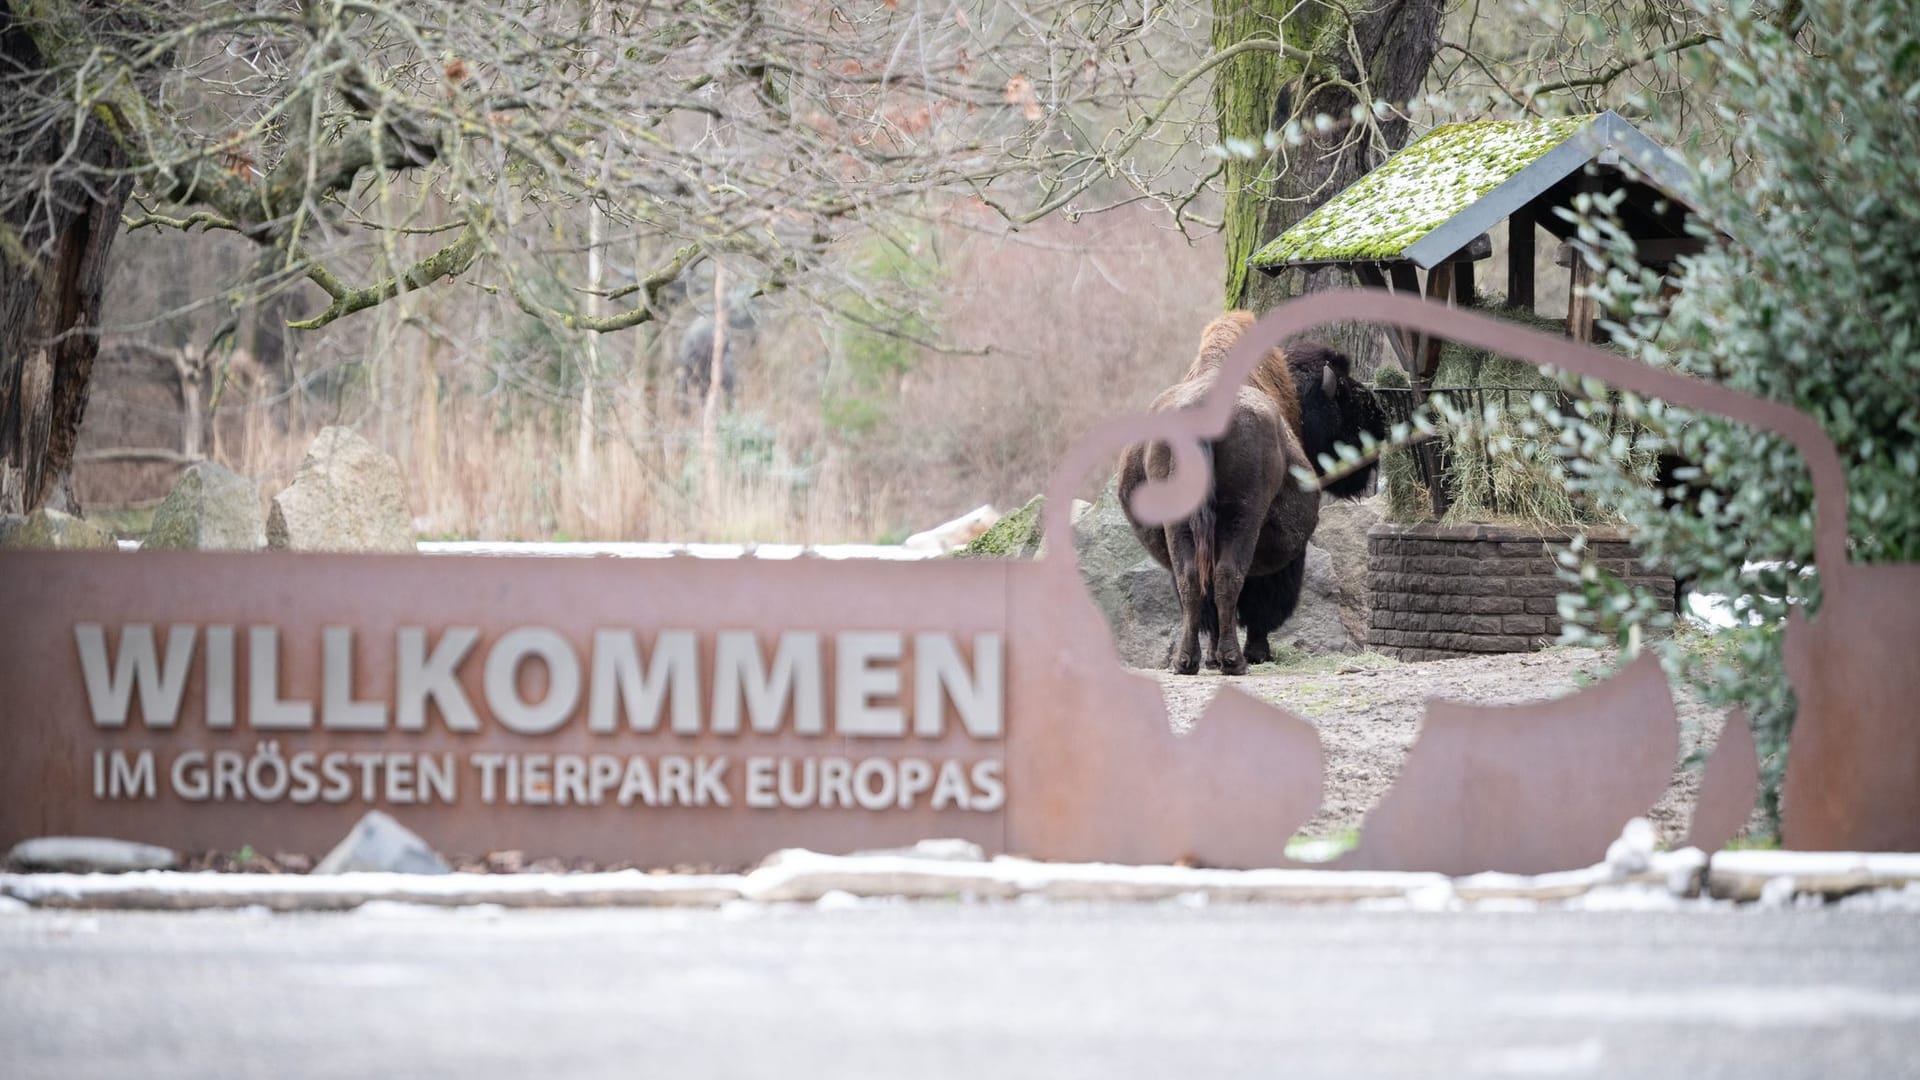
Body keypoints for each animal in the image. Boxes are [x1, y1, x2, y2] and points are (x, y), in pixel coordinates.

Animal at [1121, 307, 1390, 668]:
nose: (1379, 424)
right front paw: (1258, 652)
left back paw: (1189, 661)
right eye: (1345, 395)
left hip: (1179, 523)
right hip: (1244, 518)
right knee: (1229, 577)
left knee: (1192, 582)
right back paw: (1235, 660)